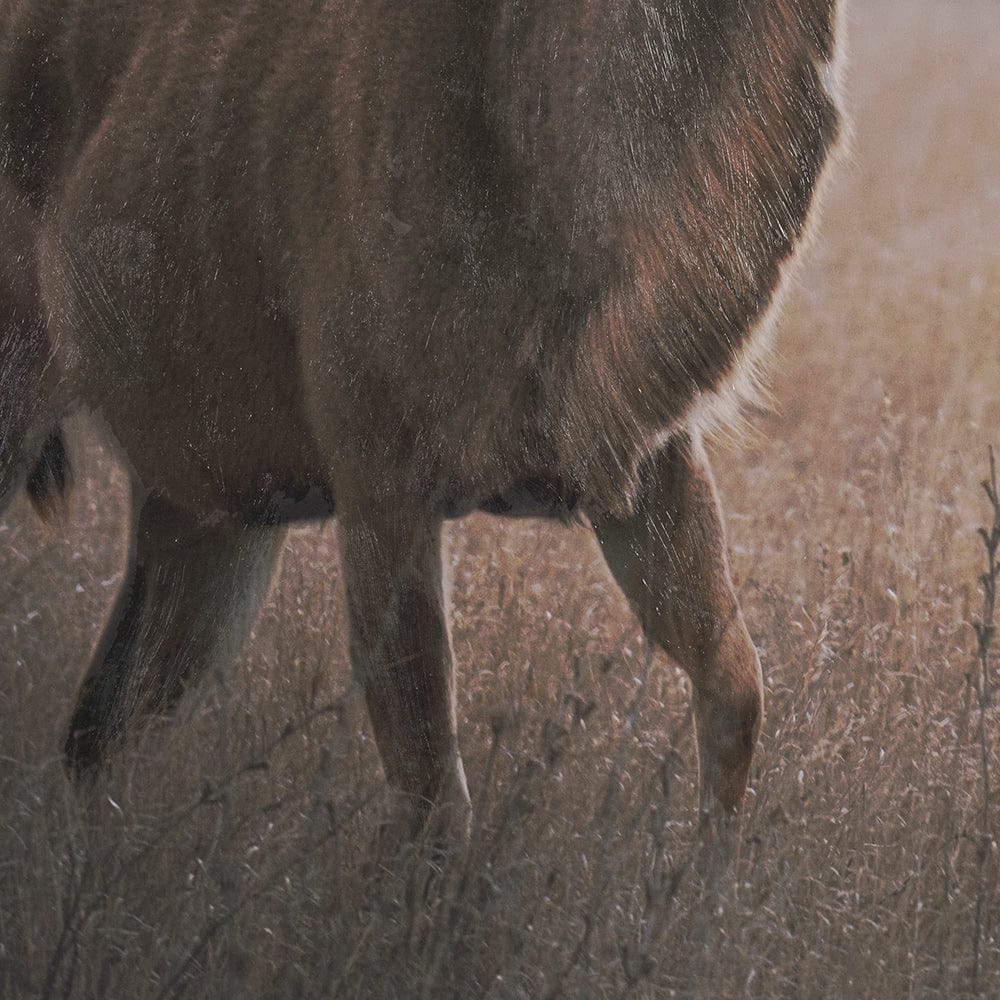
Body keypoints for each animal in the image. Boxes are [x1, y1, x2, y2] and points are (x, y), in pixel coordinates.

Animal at [0, 0, 843, 845]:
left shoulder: (642, 457)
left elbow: (736, 686)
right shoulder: (380, 476)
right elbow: (434, 798)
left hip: (209, 508)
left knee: (97, 733)